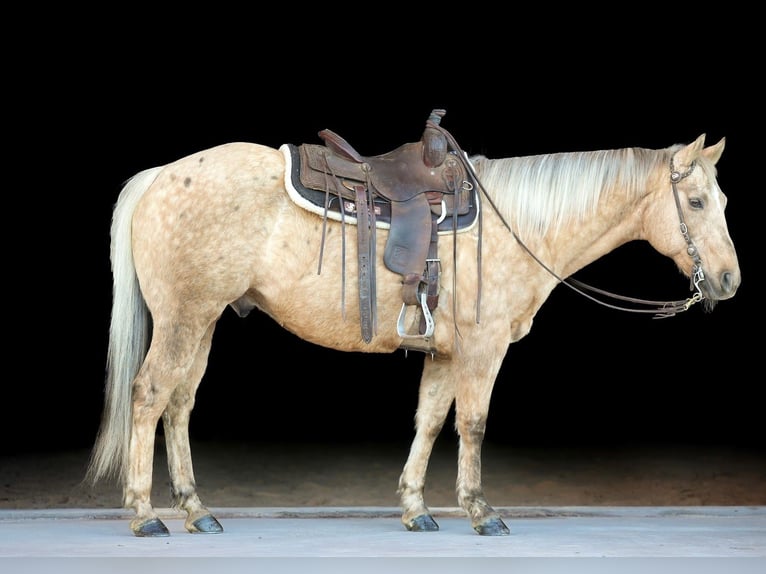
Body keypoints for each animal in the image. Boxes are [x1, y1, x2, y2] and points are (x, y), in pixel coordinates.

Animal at [86, 113, 740, 538]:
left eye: (724, 201)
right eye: (698, 203)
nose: (730, 280)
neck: (516, 223)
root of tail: (159, 175)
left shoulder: (445, 353)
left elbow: (428, 422)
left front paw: (415, 507)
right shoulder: (482, 348)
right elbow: (472, 424)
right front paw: (480, 510)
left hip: (202, 321)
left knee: (179, 404)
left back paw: (197, 510)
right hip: (183, 319)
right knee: (149, 395)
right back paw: (145, 515)